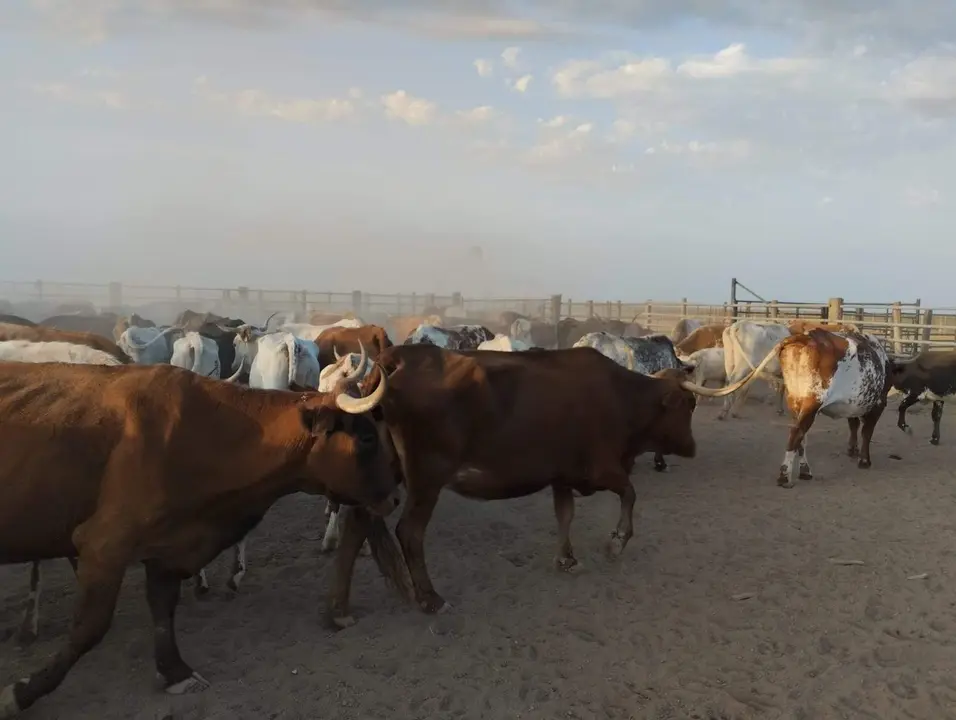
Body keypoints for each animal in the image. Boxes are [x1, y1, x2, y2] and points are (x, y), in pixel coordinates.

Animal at [0, 362, 400, 716]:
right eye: (366, 437)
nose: (395, 497)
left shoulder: (167, 546)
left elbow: (163, 610)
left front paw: (175, 671)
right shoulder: (104, 544)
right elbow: (89, 628)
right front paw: (22, 692)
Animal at [324, 344, 744, 624]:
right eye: (688, 406)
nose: (692, 447)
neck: (621, 397)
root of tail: (395, 360)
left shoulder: (561, 474)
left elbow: (565, 514)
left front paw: (567, 558)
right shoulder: (602, 468)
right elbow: (629, 494)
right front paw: (616, 541)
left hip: (383, 473)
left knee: (356, 526)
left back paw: (340, 608)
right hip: (427, 478)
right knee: (409, 532)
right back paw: (430, 598)